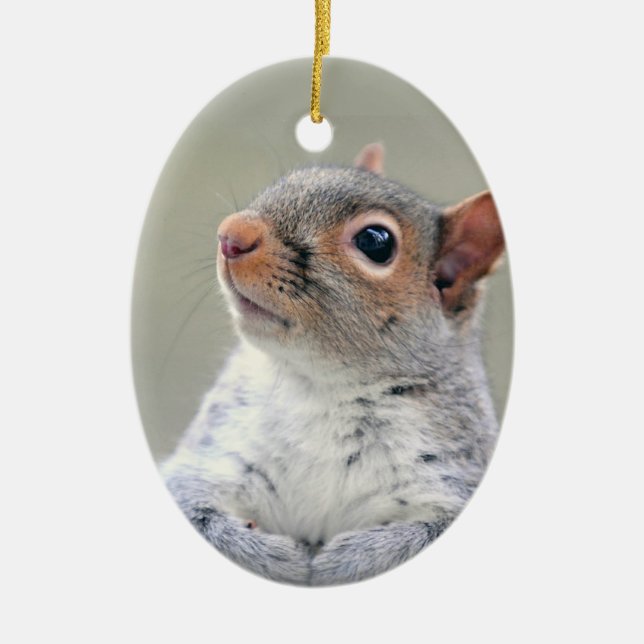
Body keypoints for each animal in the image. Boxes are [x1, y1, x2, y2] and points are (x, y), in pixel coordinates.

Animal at [161, 143, 505, 585]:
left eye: (375, 242)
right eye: (289, 179)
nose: (231, 234)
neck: (321, 385)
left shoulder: (451, 479)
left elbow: (420, 535)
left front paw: (346, 560)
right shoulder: (214, 454)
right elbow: (195, 507)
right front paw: (276, 557)